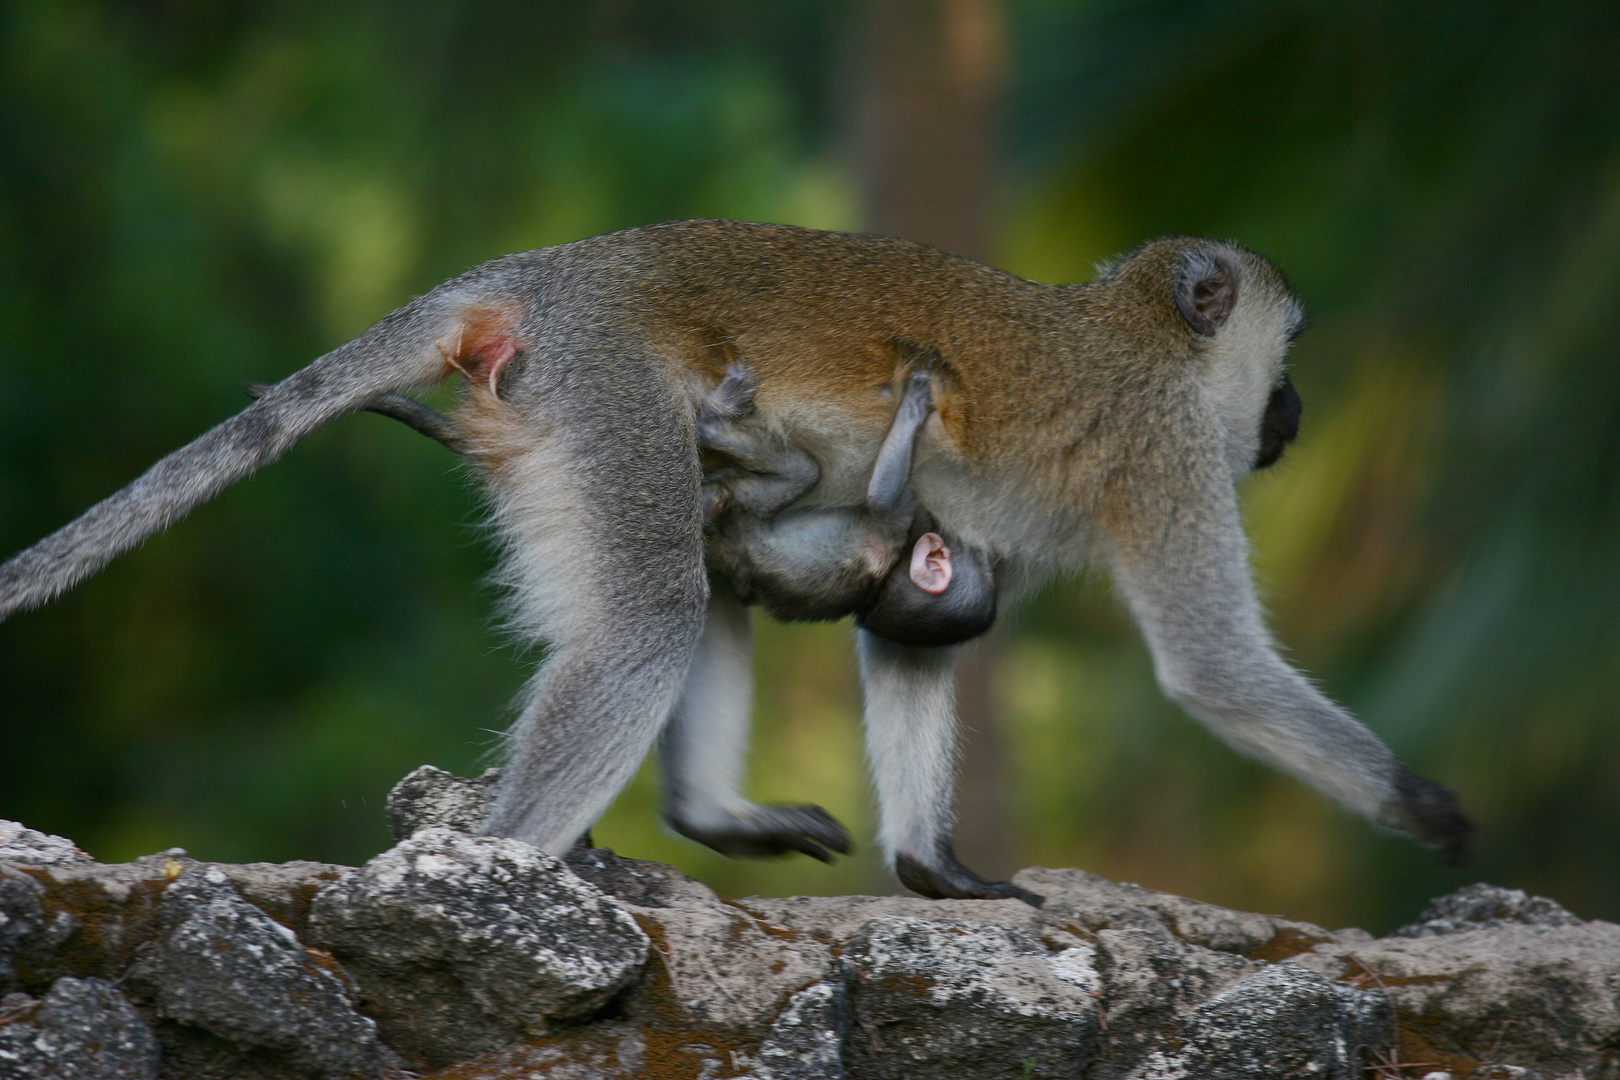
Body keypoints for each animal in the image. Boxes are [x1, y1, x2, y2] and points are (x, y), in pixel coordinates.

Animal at [699, 367, 991, 647]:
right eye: (981, 559)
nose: (985, 552)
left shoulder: (898, 526)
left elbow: (880, 499)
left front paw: (914, 404)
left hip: (740, 506)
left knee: (803, 471)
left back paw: (713, 416)